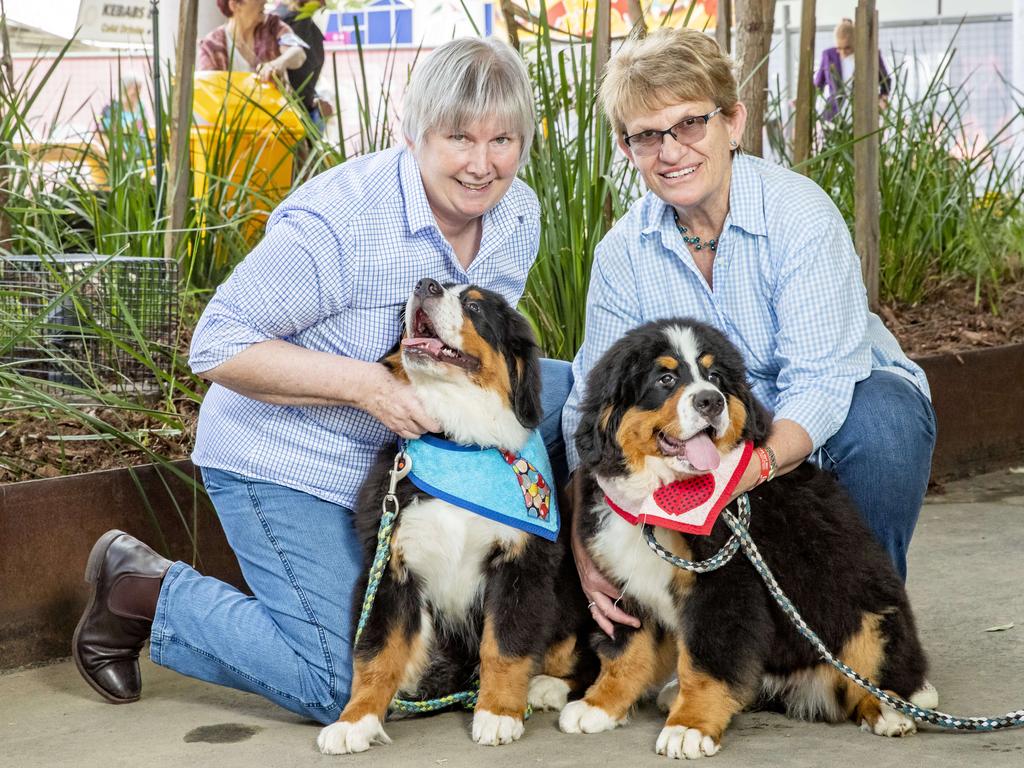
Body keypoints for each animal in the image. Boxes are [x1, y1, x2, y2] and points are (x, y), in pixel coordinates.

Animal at [317, 280, 593, 753]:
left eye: (474, 307)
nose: (424, 284)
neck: (459, 445)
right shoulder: (391, 566)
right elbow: (377, 652)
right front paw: (356, 720)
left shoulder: (521, 565)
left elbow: (505, 646)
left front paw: (498, 713)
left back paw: (546, 687)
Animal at [565, 319, 933, 765]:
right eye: (665, 379)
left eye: (715, 378)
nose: (711, 401)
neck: (661, 495)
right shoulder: (623, 585)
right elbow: (625, 654)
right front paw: (599, 705)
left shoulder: (723, 588)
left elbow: (707, 662)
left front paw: (689, 727)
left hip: (868, 612)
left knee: (876, 672)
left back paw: (889, 709)